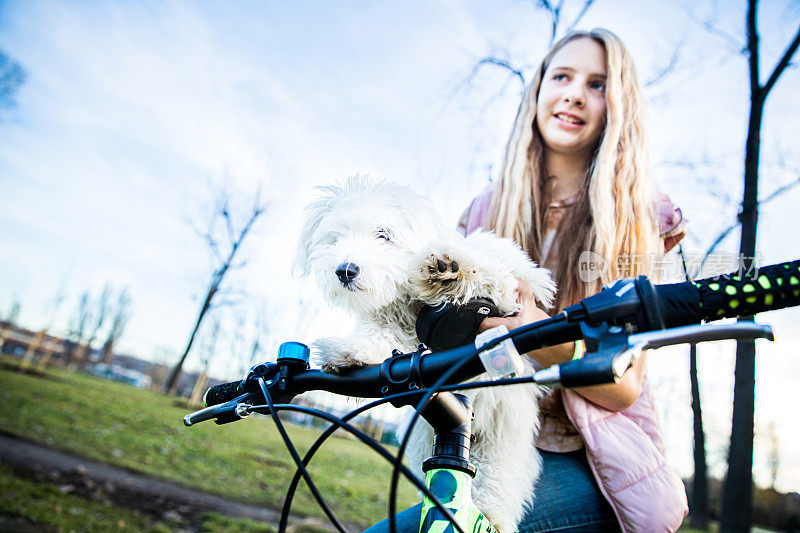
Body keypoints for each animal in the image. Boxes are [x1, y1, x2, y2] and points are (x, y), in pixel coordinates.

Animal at [294, 179, 556, 532]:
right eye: (335, 239)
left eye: (383, 234)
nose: (345, 270)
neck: (411, 299)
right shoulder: (393, 327)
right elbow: (382, 340)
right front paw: (353, 351)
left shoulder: (511, 288)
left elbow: (496, 272)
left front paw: (454, 270)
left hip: (501, 448)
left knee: (494, 489)